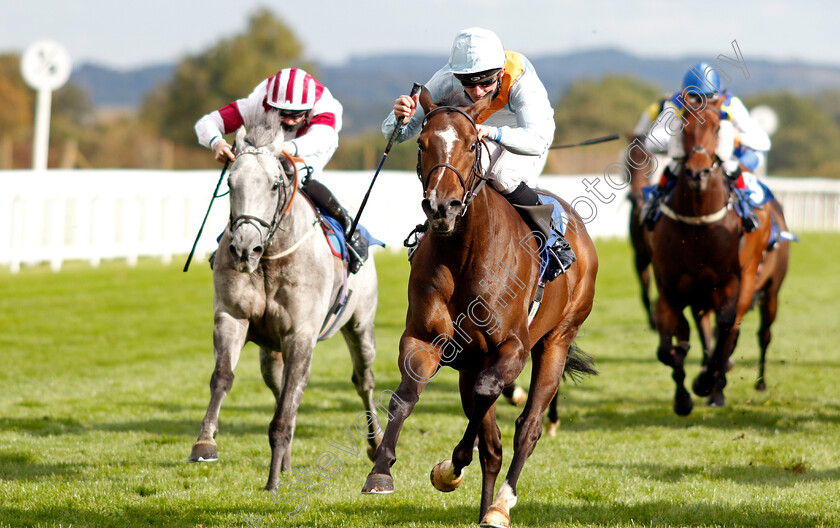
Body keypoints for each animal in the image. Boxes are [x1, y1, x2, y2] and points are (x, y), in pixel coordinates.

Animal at [189, 113, 382, 488]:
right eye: (231, 183)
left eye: (274, 185)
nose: (244, 248)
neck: (269, 259)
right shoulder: (232, 317)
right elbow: (223, 378)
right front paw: (205, 443)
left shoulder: (301, 335)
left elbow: (287, 407)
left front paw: (273, 480)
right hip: (271, 349)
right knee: (279, 386)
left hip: (360, 325)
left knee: (363, 381)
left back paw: (376, 443)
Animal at [360, 88, 596, 524]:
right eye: (422, 142)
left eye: (472, 144)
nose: (442, 207)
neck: (465, 254)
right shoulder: (425, 340)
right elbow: (405, 397)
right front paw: (381, 471)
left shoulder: (512, 348)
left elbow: (489, 397)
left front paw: (451, 466)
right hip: (472, 360)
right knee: (492, 443)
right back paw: (485, 506)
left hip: (556, 340)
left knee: (528, 427)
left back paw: (500, 505)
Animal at [644, 96, 776, 416]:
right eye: (683, 127)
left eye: (718, 128)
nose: (698, 173)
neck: (698, 222)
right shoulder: (670, 289)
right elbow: (667, 348)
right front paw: (682, 397)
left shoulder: (728, 284)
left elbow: (724, 329)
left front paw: (705, 382)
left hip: (750, 281)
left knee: (732, 331)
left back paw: (716, 387)